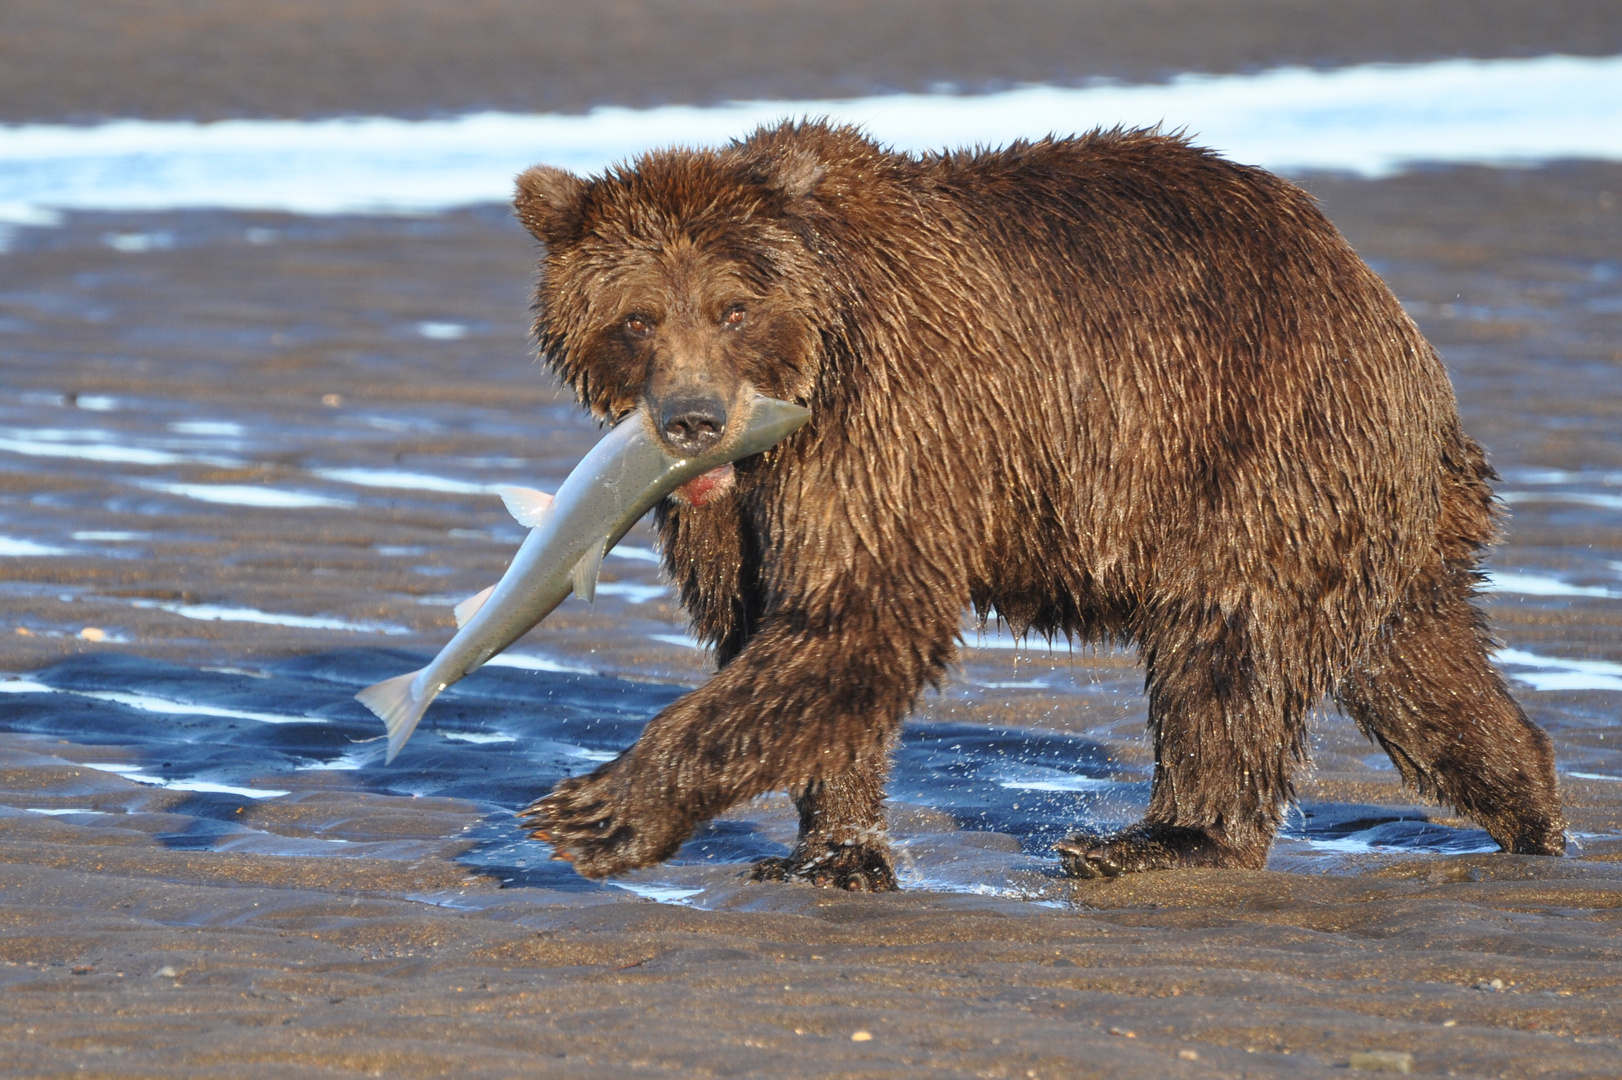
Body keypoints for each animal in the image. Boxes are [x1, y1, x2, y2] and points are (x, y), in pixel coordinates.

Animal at [512, 121, 1563, 888]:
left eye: (733, 307)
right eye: (637, 317)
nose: (693, 420)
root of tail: (1383, 307)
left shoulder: (897, 418)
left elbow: (859, 610)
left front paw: (591, 814)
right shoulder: (734, 509)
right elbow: (775, 622)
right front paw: (832, 850)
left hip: (1253, 440)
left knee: (1228, 646)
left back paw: (1159, 839)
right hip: (1372, 501)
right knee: (1415, 659)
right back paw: (1532, 808)